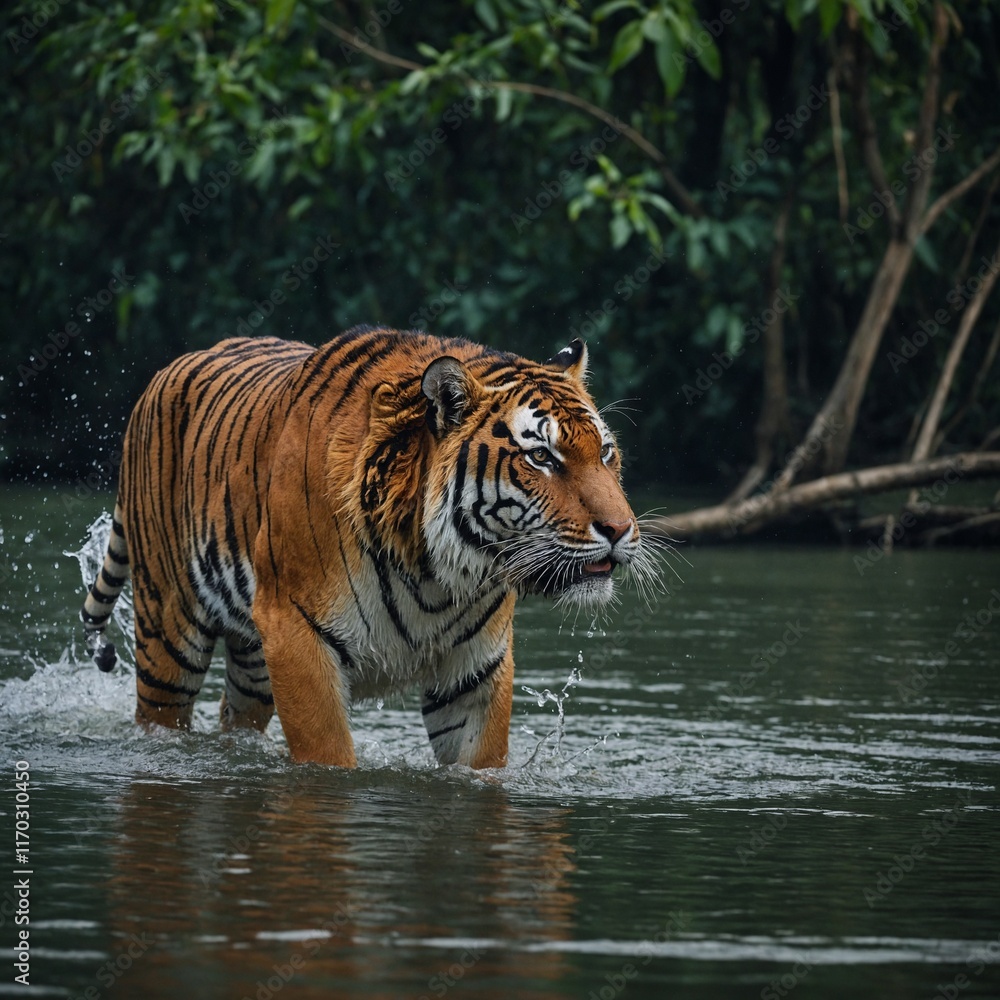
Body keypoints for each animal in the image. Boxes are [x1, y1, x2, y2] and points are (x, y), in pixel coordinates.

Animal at [81, 326, 658, 768]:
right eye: (541, 457)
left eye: (605, 452)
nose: (620, 529)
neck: (435, 573)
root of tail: (169, 368)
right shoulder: (296, 634)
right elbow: (328, 757)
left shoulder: (476, 668)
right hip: (169, 629)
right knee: (158, 712)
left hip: (253, 660)